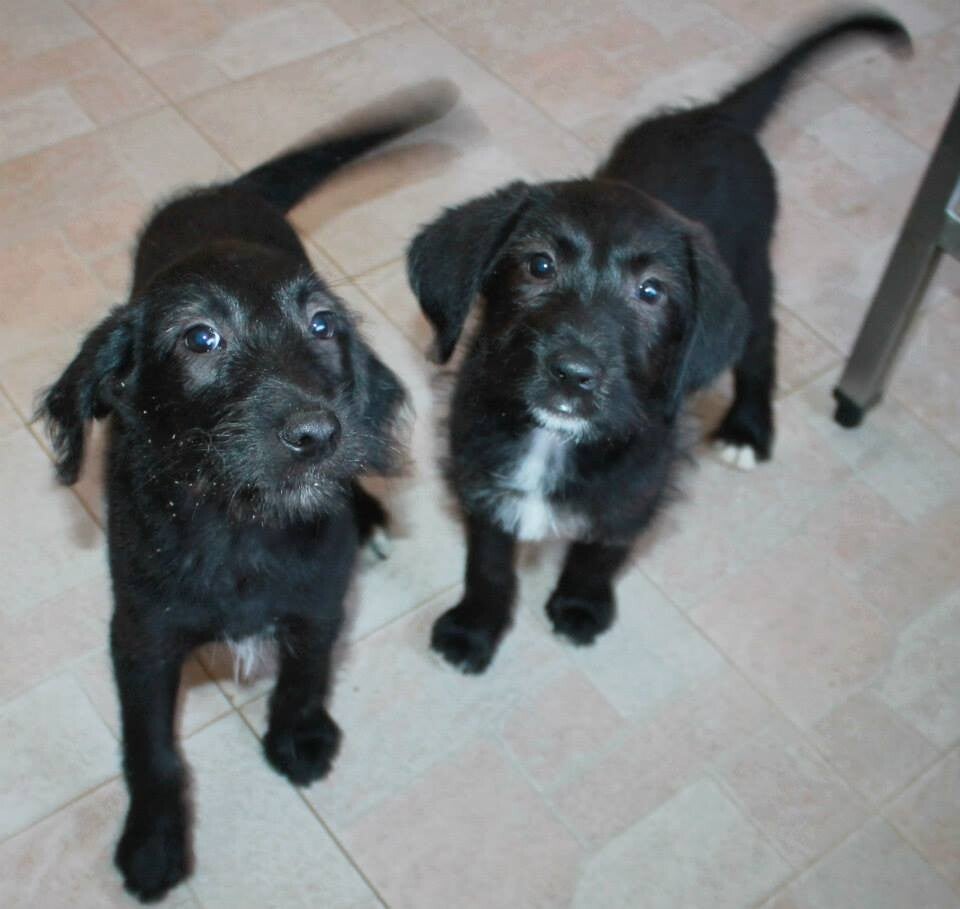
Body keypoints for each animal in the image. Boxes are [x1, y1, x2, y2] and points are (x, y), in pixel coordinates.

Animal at [39, 82, 455, 902]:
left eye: (323, 325)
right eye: (200, 338)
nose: (318, 433)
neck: (238, 523)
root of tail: (224, 189)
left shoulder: (320, 595)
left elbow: (306, 668)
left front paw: (298, 735)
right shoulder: (139, 635)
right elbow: (150, 746)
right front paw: (154, 841)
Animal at [405, 12, 910, 673]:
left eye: (651, 292)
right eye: (538, 265)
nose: (573, 373)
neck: (552, 438)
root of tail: (717, 116)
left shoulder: (640, 482)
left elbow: (602, 549)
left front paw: (581, 605)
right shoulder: (481, 464)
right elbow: (488, 558)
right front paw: (475, 627)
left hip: (753, 270)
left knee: (762, 340)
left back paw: (748, 428)